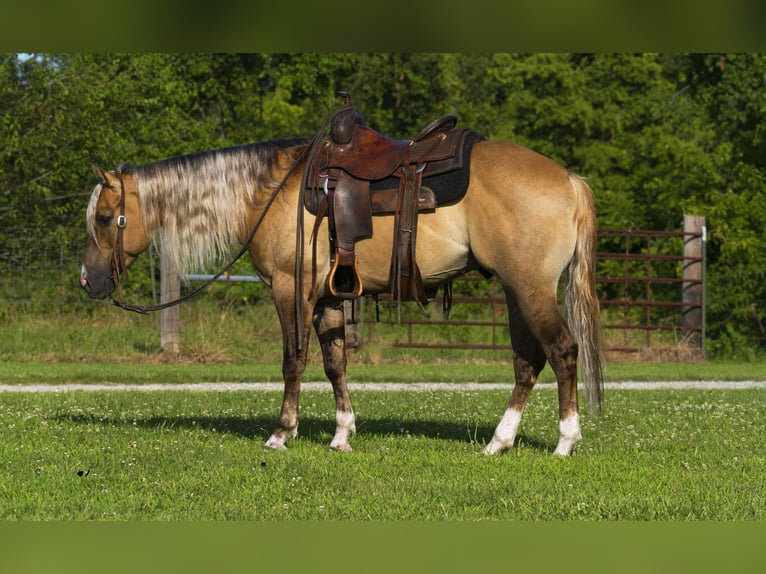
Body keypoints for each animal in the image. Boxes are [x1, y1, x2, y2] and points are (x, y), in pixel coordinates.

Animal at [79, 135, 603, 456]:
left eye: (104, 218)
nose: (88, 281)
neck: (270, 192)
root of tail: (569, 180)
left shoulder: (290, 288)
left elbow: (293, 360)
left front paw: (281, 433)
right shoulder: (329, 297)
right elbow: (335, 364)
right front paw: (342, 434)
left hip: (530, 289)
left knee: (562, 351)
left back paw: (565, 441)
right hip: (516, 292)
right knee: (527, 363)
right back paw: (498, 441)